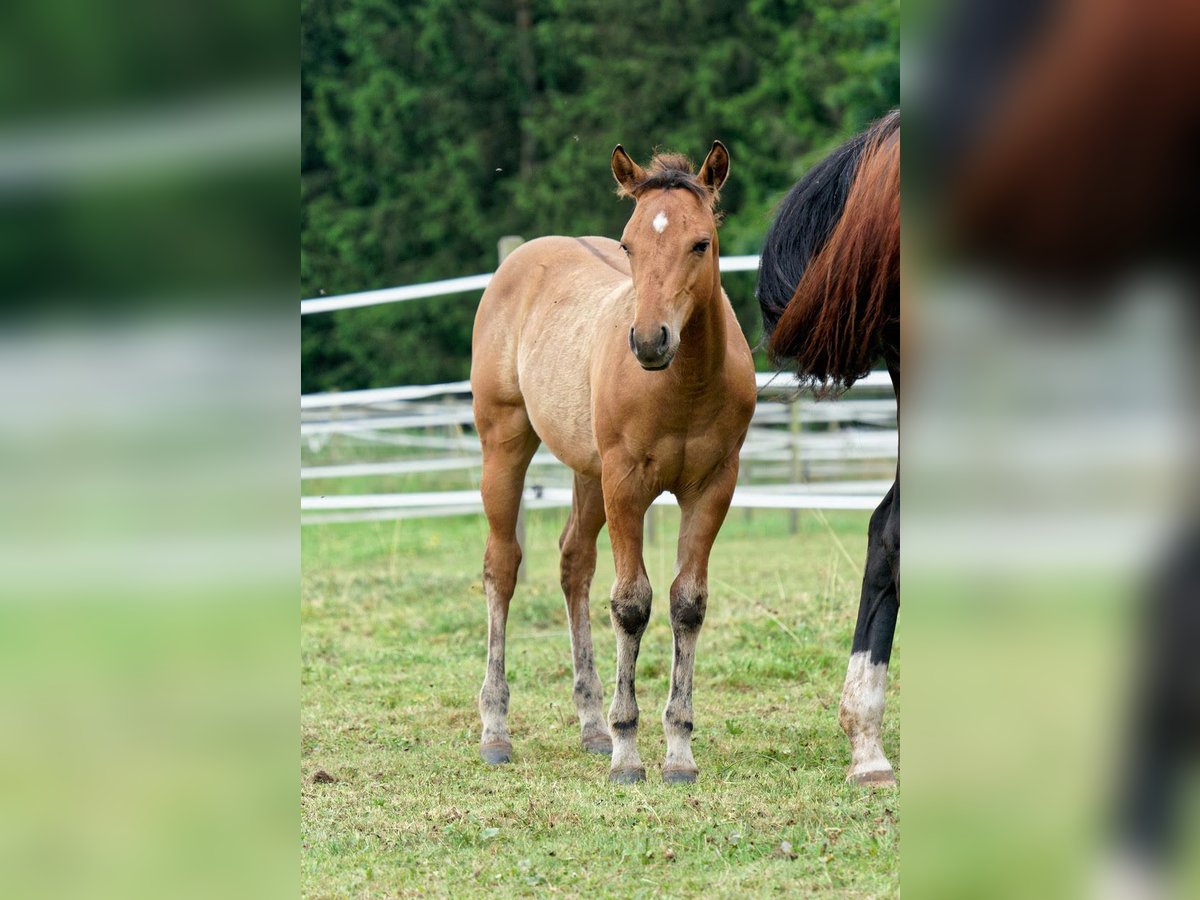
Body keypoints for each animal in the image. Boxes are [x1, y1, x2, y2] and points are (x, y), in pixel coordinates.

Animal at [470, 142, 757, 783]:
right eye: (628, 244)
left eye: (700, 242)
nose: (649, 341)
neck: (683, 386)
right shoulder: (627, 485)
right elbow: (631, 604)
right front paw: (629, 752)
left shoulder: (713, 487)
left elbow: (686, 604)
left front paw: (677, 751)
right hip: (505, 443)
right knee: (502, 567)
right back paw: (496, 729)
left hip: (587, 472)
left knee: (573, 563)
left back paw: (592, 723)